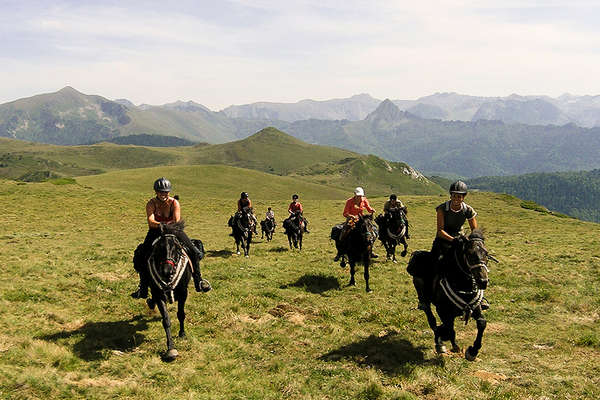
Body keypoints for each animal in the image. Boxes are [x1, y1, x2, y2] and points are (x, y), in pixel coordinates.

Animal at [143, 220, 209, 360]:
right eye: (159, 248)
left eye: (177, 248)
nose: (167, 270)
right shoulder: (158, 294)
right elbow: (166, 320)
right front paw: (171, 348)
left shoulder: (183, 293)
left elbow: (181, 314)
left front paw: (182, 333)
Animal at [408, 230, 492, 360]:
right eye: (469, 254)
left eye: (486, 253)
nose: (483, 281)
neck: (462, 285)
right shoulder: (443, 311)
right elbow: (449, 330)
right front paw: (453, 345)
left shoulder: (475, 308)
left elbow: (482, 323)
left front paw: (472, 351)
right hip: (424, 298)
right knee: (431, 319)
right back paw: (439, 343)